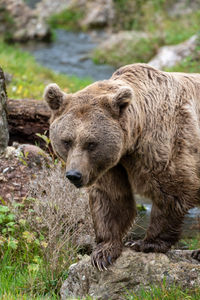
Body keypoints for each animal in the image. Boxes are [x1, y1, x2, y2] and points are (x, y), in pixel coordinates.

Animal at [44, 63, 200, 272]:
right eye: (66, 141)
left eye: (91, 143)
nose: (74, 175)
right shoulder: (111, 165)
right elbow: (112, 198)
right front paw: (104, 252)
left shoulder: (169, 143)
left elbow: (172, 191)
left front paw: (145, 243)